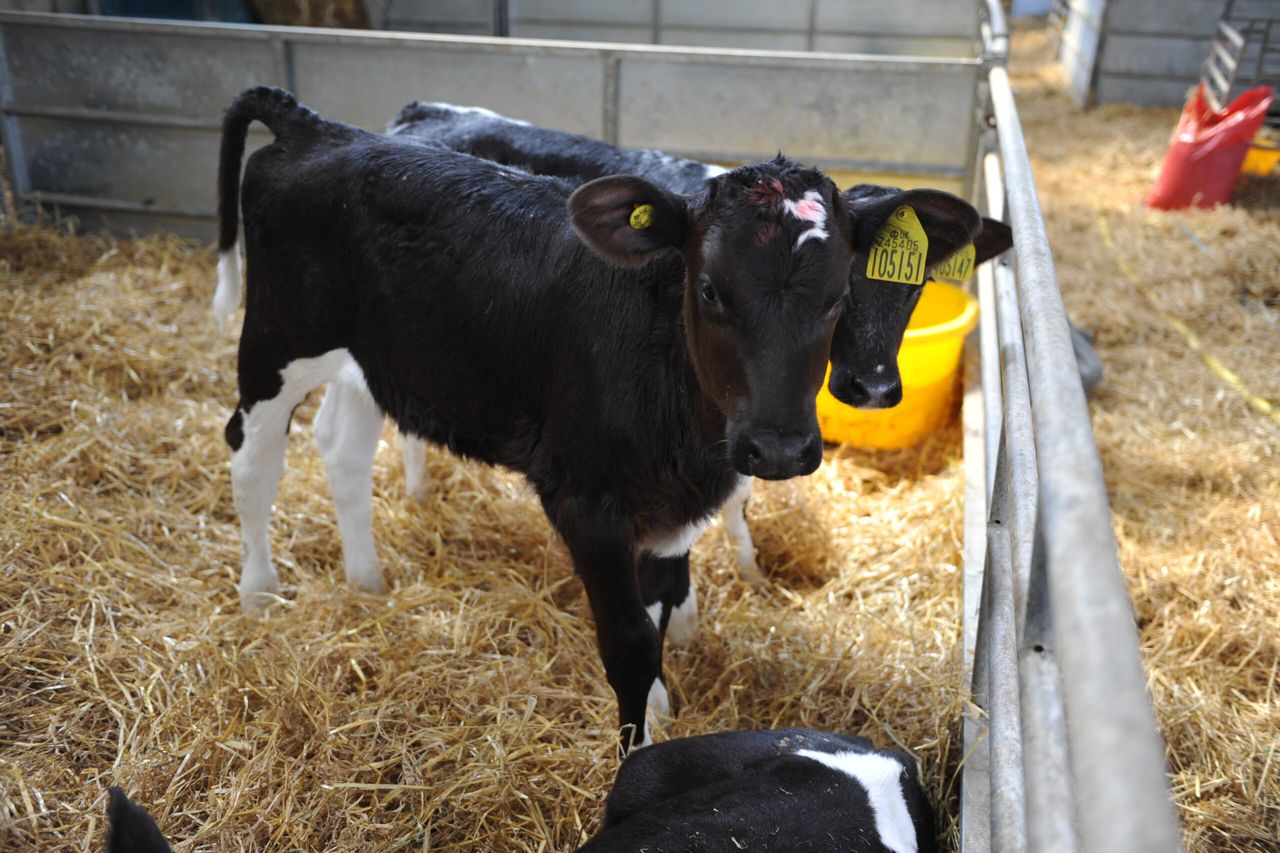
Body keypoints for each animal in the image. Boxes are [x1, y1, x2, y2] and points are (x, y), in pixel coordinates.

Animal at [213, 86, 982, 748]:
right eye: (709, 288)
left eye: (835, 295)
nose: (780, 449)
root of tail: (322, 129)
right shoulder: (585, 501)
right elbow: (630, 641)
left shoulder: (675, 509)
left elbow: (662, 605)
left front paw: (665, 704)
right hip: (276, 341)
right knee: (253, 458)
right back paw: (259, 594)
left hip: (375, 357)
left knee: (343, 450)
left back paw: (367, 582)